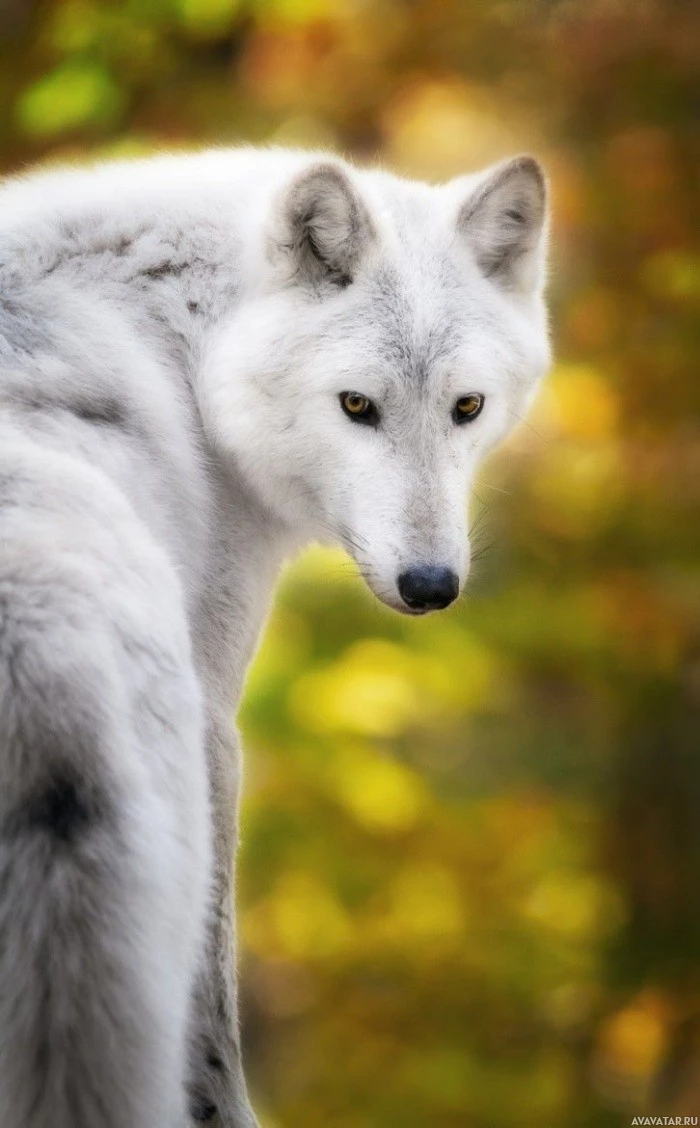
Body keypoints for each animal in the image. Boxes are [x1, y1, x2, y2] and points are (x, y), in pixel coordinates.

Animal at [0, 150, 547, 1128]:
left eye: (468, 407)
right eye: (357, 404)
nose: (431, 586)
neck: (186, 338)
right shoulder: (219, 720)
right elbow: (216, 1019)